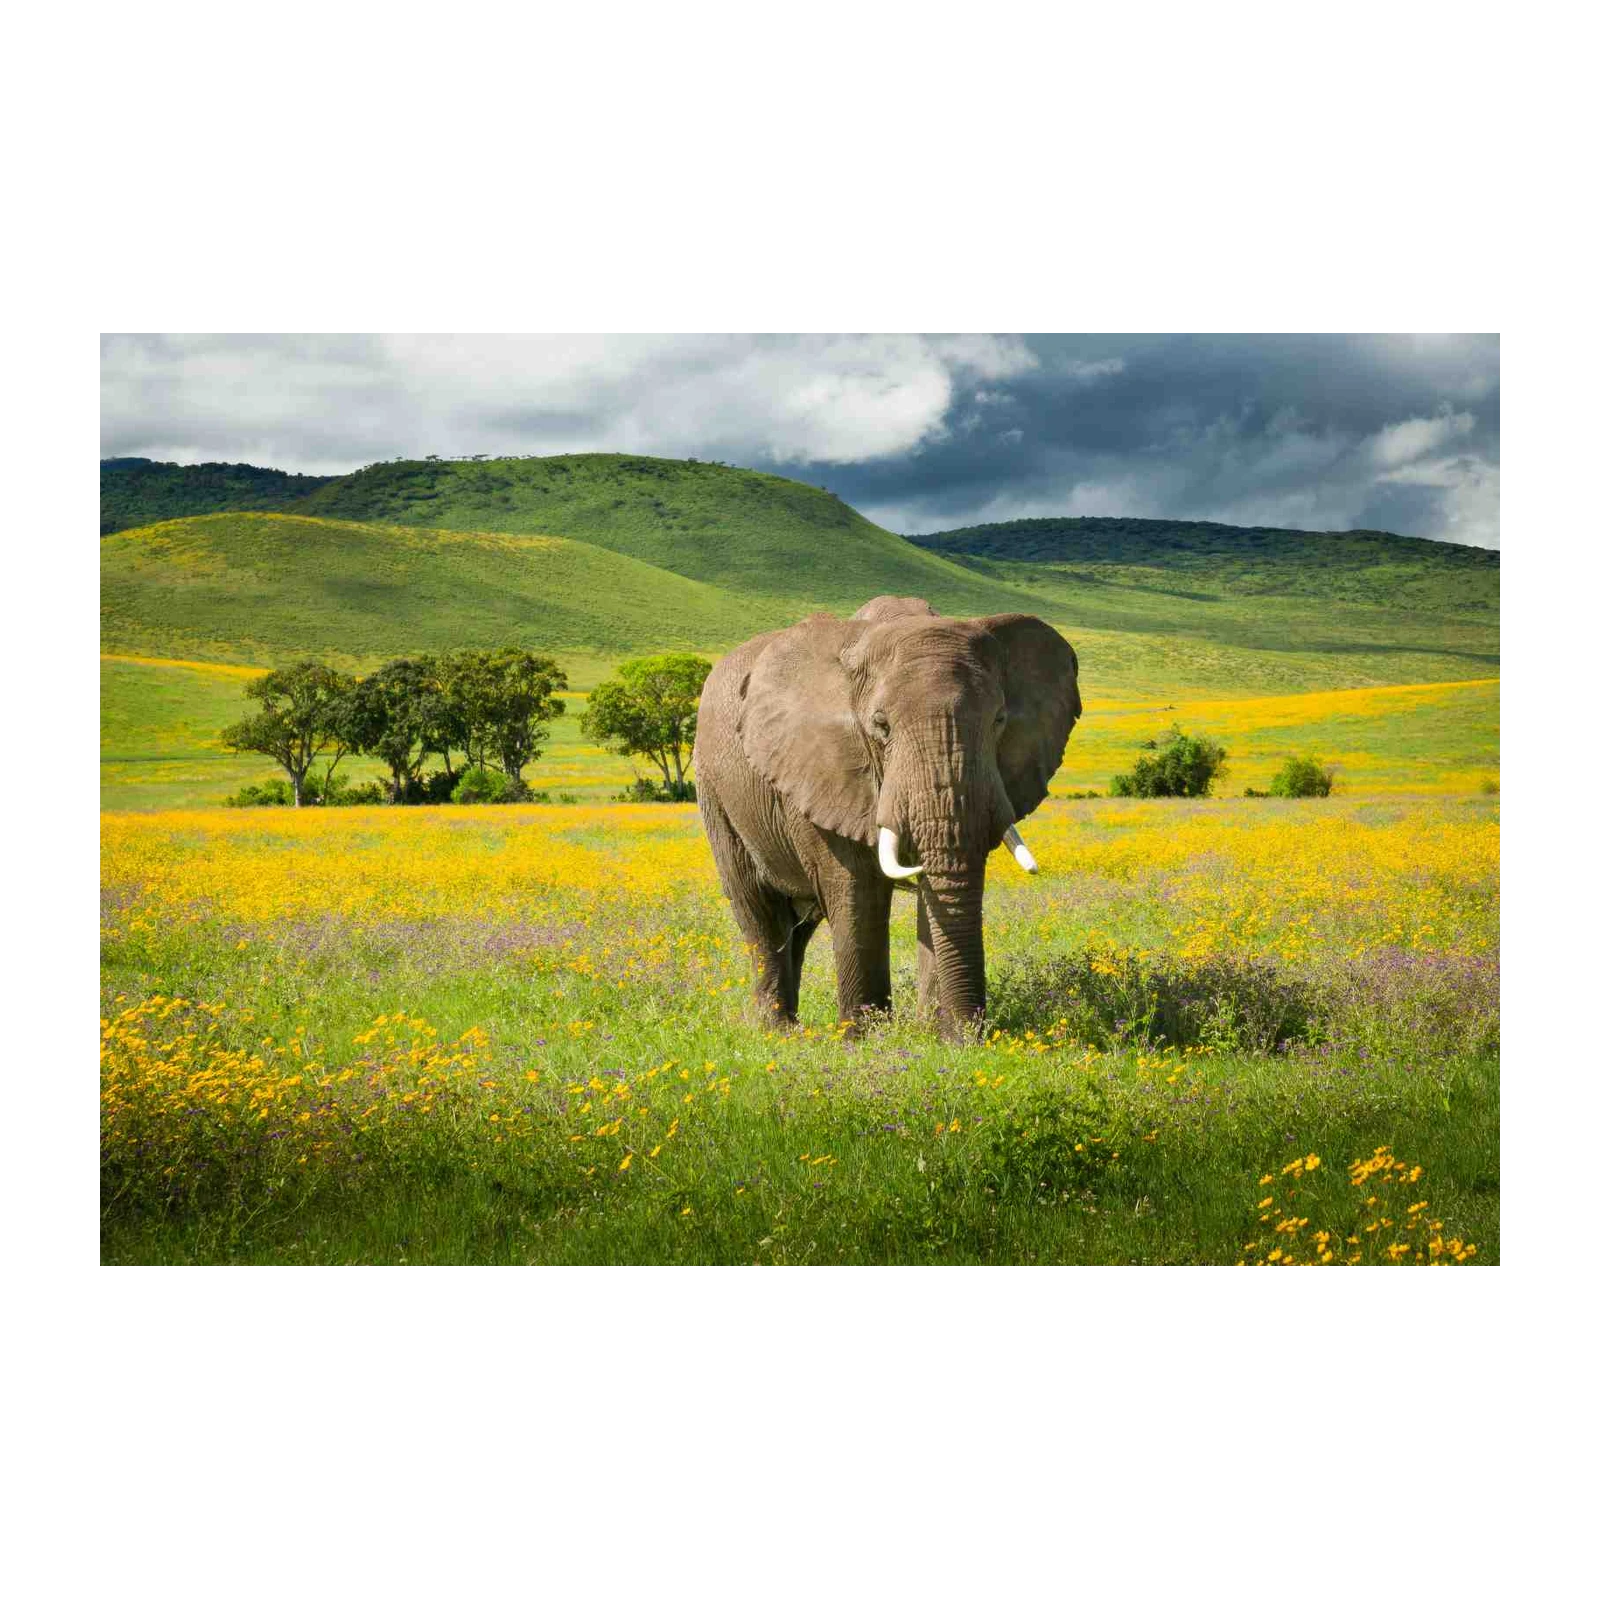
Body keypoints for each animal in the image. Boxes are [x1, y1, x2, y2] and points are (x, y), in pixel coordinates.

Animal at [693, 596, 1082, 1040]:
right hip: (715, 793)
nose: (971, 1036)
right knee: (761, 913)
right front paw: (865, 1038)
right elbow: (857, 890)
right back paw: (778, 1032)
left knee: (798, 926)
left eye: (999, 721)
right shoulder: (823, 769)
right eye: (881, 726)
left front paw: (932, 1034)